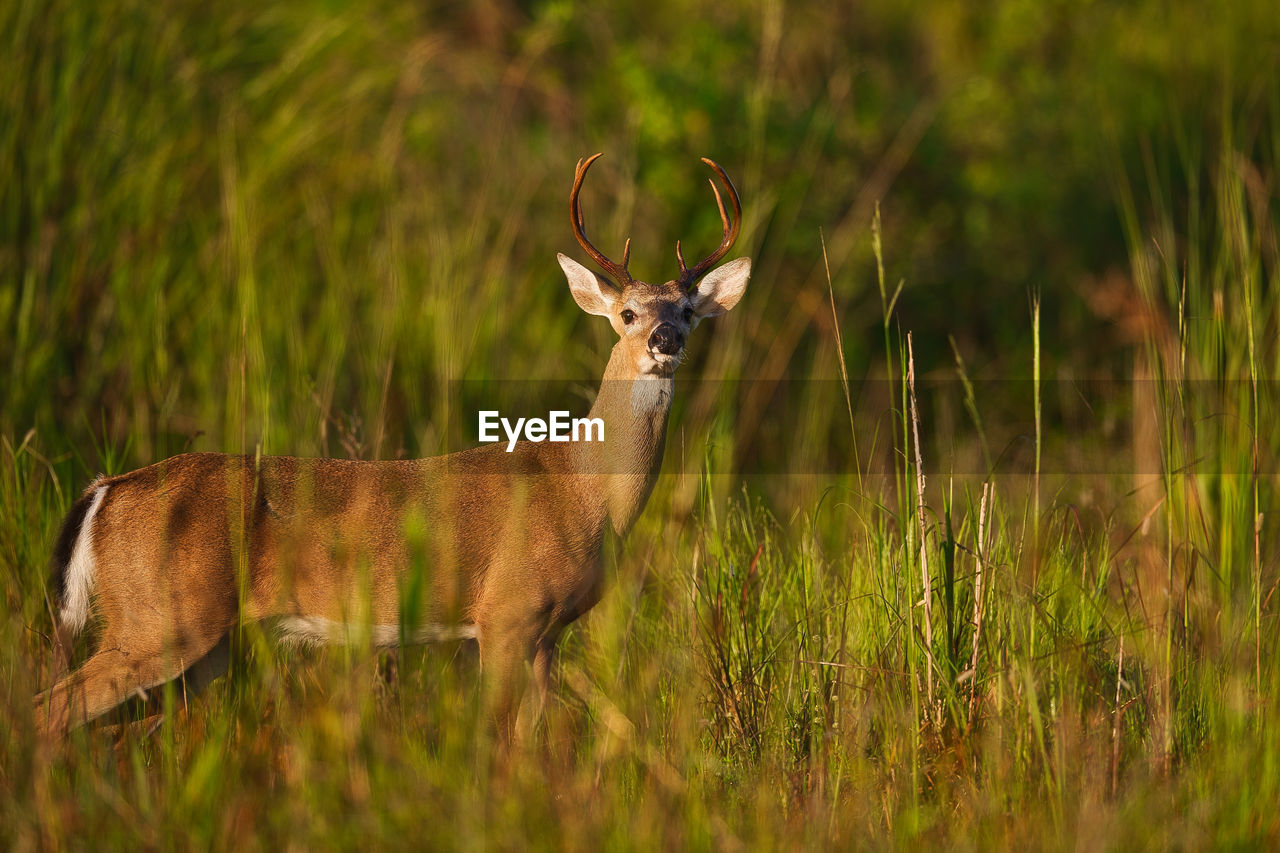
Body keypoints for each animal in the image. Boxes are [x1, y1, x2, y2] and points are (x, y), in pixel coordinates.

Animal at [32, 153, 747, 737]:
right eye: (627, 312)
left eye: (686, 311)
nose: (664, 340)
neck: (582, 485)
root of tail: (106, 490)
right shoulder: (506, 612)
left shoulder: (548, 633)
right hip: (156, 620)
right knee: (48, 712)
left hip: (203, 646)